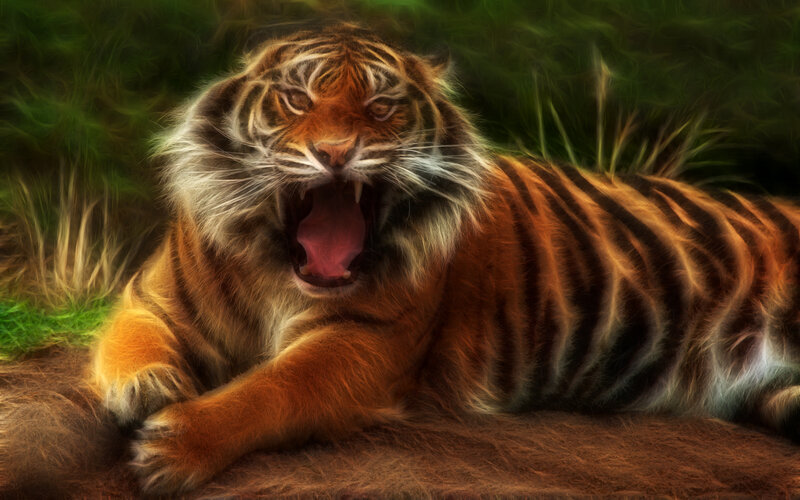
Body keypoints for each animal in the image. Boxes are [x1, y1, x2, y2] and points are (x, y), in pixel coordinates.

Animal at [91, 24, 800, 494]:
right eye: (297, 100)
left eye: (382, 107)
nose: (334, 152)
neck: (276, 269)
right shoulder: (149, 297)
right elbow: (127, 341)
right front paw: (149, 385)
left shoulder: (364, 343)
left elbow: (271, 389)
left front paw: (176, 445)